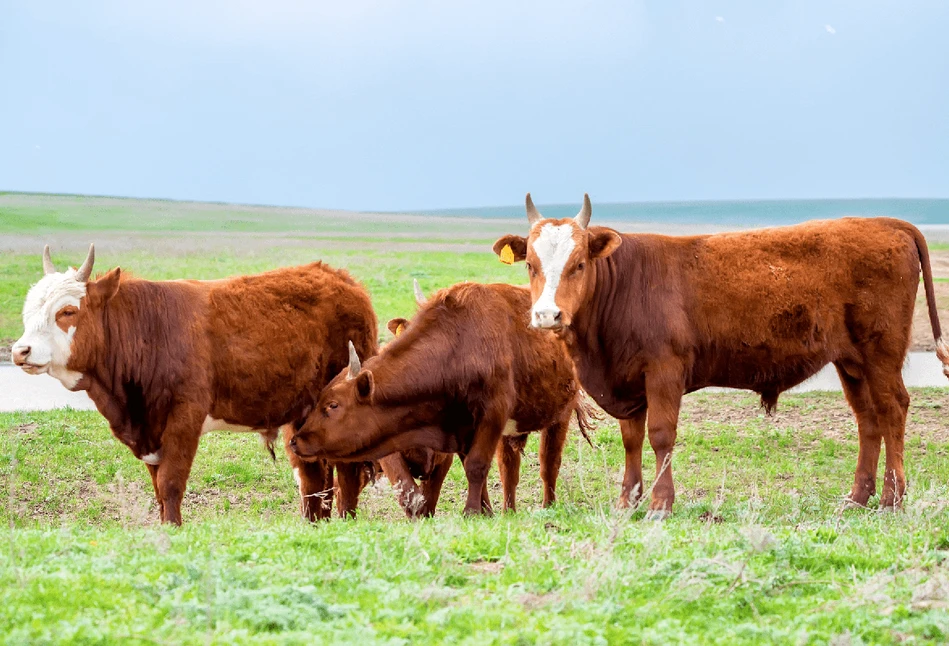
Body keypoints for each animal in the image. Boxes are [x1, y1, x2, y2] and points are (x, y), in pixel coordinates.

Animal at [286, 282, 592, 516]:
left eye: (333, 405)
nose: (296, 440)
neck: (459, 345)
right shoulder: (460, 429)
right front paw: (484, 512)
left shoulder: (491, 415)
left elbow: (477, 466)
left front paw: (471, 512)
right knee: (510, 469)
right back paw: (508, 511)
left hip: (559, 417)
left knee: (549, 462)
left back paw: (548, 506)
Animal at [488, 195, 948, 520]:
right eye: (530, 264)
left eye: (579, 263)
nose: (547, 315)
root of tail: (889, 224)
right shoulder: (628, 382)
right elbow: (631, 440)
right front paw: (627, 501)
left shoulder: (664, 372)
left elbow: (661, 435)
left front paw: (660, 504)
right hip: (851, 363)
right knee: (868, 420)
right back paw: (857, 498)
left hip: (881, 354)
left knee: (892, 409)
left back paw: (892, 498)